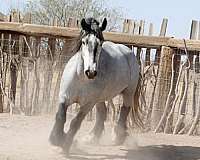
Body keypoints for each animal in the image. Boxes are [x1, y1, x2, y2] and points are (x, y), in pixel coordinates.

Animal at [49, 17, 141, 154]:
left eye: (100, 43)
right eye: (84, 42)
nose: (91, 72)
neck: (81, 79)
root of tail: (128, 52)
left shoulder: (87, 105)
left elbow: (75, 122)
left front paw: (67, 144)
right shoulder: (64, 98)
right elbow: (60, 117)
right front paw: (56, 139)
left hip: (128, 92)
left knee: (125, 109)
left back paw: (117, 137)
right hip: (100, 98)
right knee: (102, 112)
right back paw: (92, 138)